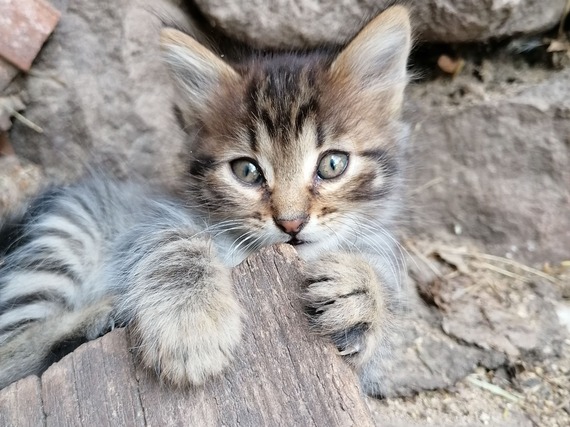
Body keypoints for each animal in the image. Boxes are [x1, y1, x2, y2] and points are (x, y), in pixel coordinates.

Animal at [0, 5, 408, 394]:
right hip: (63, 237)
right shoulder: (147, 220)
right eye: (247, 171)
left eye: (332, 164)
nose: (291, 222)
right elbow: (176, 241)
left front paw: (361, 293)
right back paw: (93, 318)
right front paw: (191, 323)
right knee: (9, 349)